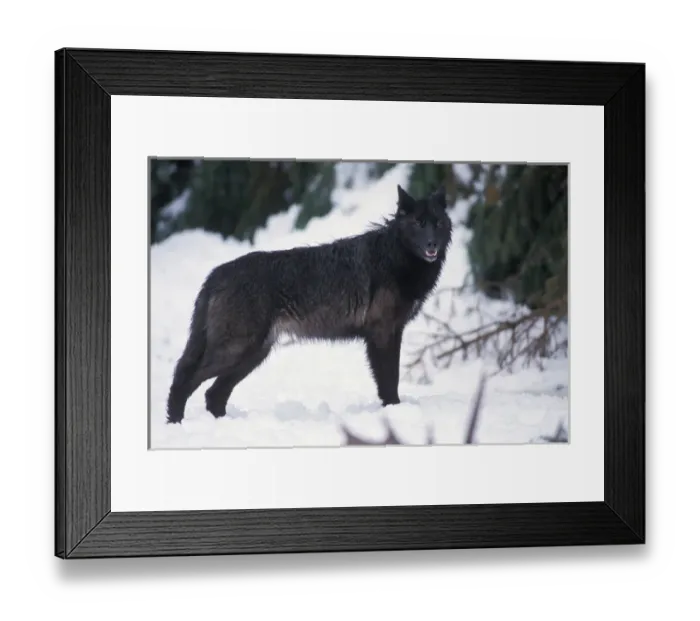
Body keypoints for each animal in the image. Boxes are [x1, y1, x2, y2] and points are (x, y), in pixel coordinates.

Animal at [166, 184, 453, 424]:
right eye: (418, 223)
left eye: (438, 223)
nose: (432, 244)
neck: (394, 255)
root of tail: (216, 274)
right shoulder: (382, 334)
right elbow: (389, 380)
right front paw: (394, 411)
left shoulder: (393, 332)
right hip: (236, 351)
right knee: (184, 379)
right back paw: (175, 422)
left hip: (252, 355)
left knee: (213, 394)